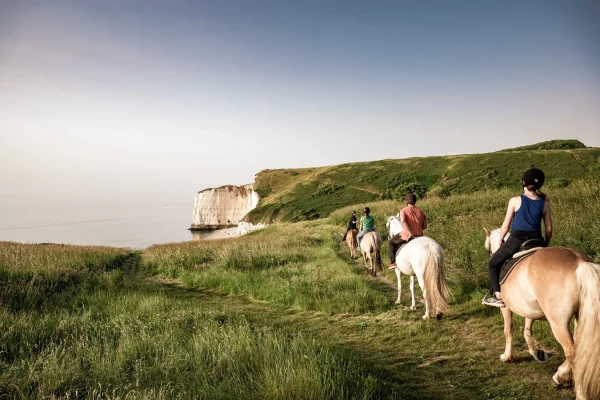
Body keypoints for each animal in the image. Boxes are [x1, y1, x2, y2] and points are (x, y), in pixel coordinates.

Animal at [486, 227, 596, 398]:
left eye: (488, 248)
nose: (491, 254)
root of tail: (580, 263)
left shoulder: (505, 307)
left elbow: (508, 331)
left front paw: (507, 356)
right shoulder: (530, 309)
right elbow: (527, 330)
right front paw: (536, 352)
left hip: (558, 323)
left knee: (572, 352)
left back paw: (579, 392)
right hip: (580, 318)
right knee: (579, 348)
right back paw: (560, 377)